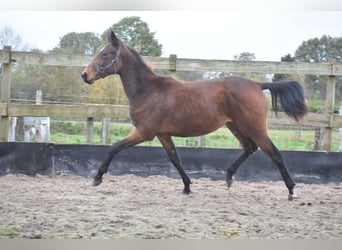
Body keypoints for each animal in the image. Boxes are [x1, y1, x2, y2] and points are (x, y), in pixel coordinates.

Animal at [81, 31, 308, 200]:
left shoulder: (145, 132)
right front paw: (187, 187)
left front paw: (97, 178)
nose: (85, 75)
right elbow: (175, 159)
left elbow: (114, 148)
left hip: (255, 127)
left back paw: (291, 190)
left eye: (105, 53)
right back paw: (228, 177)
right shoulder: (163, 134)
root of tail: (257, 84)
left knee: (274, 154)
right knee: (249, 148)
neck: (148, 90)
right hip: (235, 126)